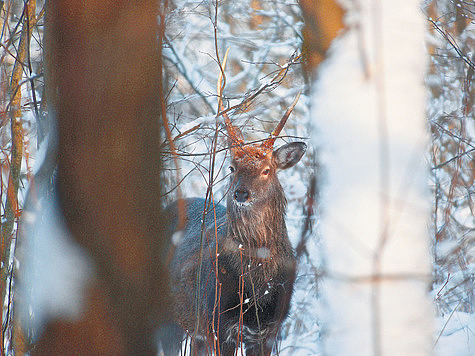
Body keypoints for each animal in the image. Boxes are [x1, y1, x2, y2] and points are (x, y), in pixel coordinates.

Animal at [159, 87, 308, 354]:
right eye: (231, 167)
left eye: (267, 170)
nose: (241, 193)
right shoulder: (219, 323)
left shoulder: (269, 330)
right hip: (169, 317)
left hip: (195, 330)